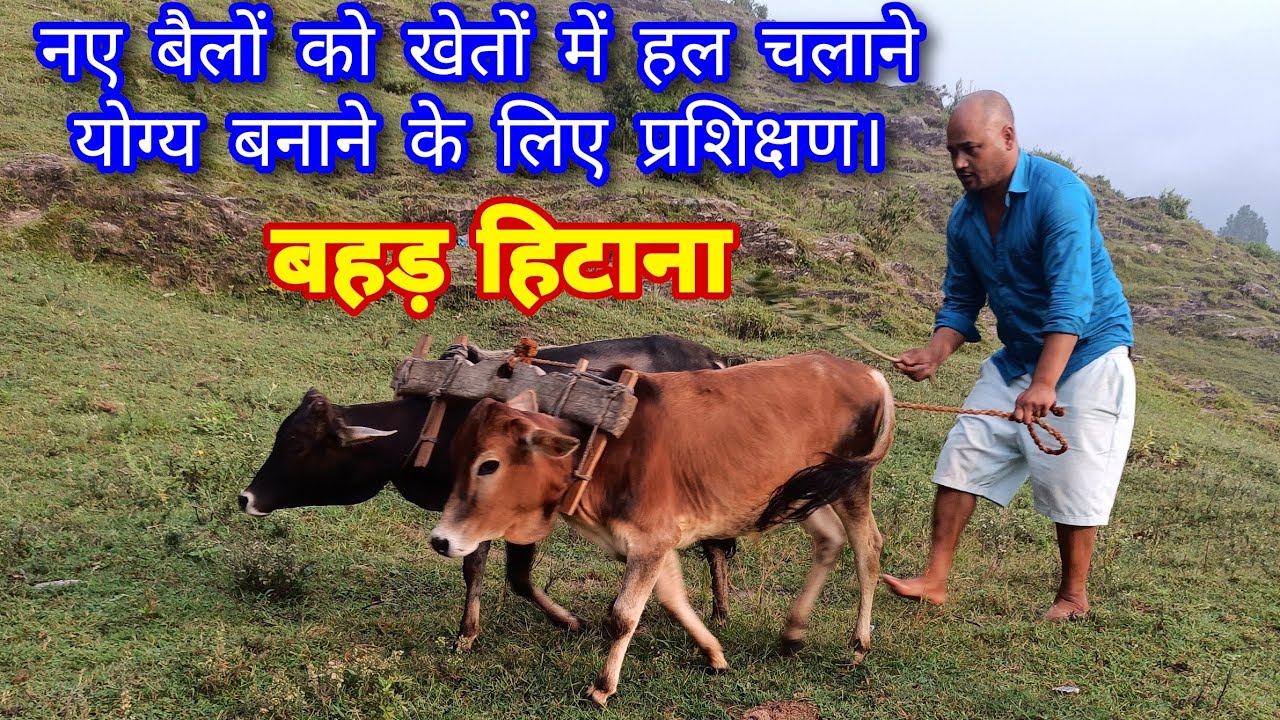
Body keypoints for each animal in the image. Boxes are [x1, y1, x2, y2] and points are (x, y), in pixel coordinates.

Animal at [237, 334, 739, 653]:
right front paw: (468, 632)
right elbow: (475, 567)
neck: (436, 422)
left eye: (298, 444)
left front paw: (570, 622)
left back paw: (719, 611)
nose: (246, 498)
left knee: (715, 545)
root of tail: (712, 357)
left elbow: (516, 577)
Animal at [427, 350, 895, 707]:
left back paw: (858, 644)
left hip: (850, 484)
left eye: (489, 464)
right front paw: (714, 654)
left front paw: (601, 688)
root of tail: (869, 373)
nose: (441, 540)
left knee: (868, 548)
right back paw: (793, 632)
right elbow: (672, 599)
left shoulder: (651, 540)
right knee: (830, 541)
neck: (603, 449)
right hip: (801, 490)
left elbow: (622, 616)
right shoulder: (651, 543)